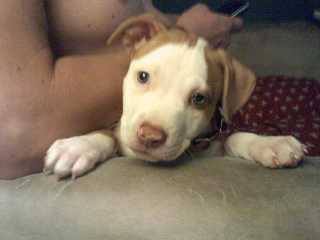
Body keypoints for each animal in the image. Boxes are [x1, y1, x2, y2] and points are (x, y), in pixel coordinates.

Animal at [43, 13, 304, 178]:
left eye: (199, 99)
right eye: (143, 76)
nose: (149, 136)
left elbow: (233, 136)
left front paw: (270, 143)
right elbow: (110, 134)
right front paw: (78, 146)